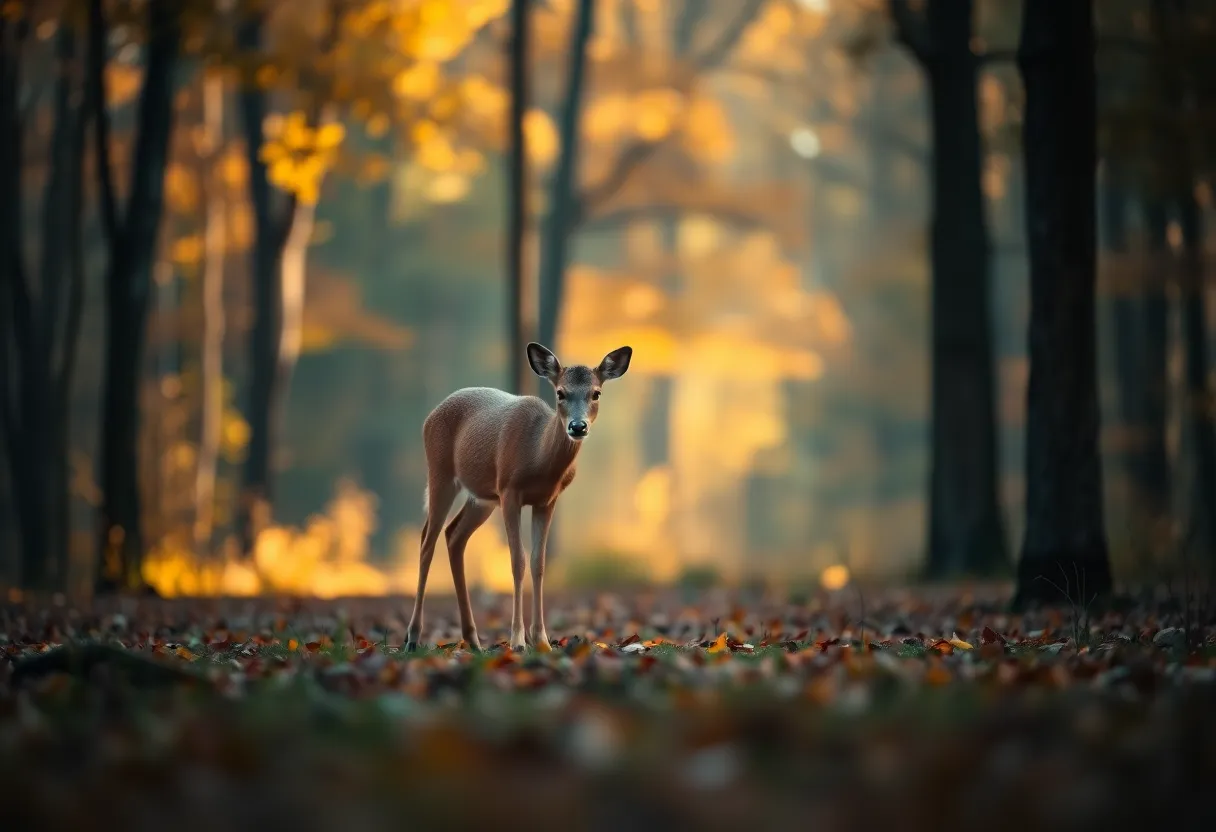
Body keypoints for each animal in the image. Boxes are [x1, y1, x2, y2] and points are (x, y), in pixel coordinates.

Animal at [405, 342, 633, 653]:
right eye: (560, 392)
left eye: (596, 392)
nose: (578, 426)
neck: (538, 455)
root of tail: (431, 415)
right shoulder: (509, 491)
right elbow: (517, 561)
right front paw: (517, 640)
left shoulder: (546, 500)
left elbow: (539, 563)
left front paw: (543, 640)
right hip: (441, 472)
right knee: (428, 540)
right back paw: (413, 638)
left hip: (482, 497)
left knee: (454, 535)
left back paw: (473, 640)